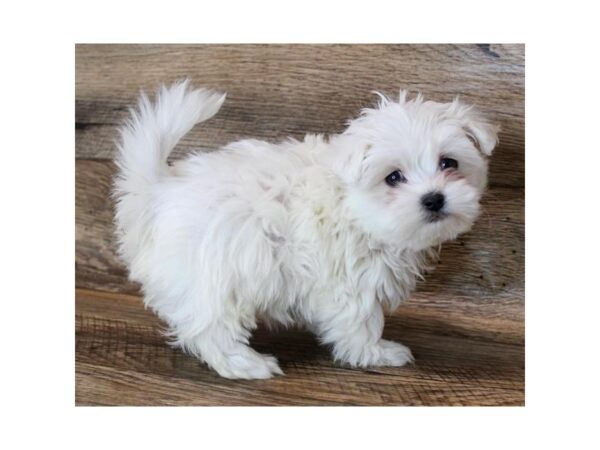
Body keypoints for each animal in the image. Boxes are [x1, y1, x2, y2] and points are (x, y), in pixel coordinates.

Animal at [112, 81, 496, 380]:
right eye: (393, 177)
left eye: (449, 163)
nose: (433, 199)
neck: (354, 208)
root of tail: (160, 190)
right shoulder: (350, 280)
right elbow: (360, 321)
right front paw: (377, 352)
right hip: (217, 275)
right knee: (211, 329)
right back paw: (246, 365)